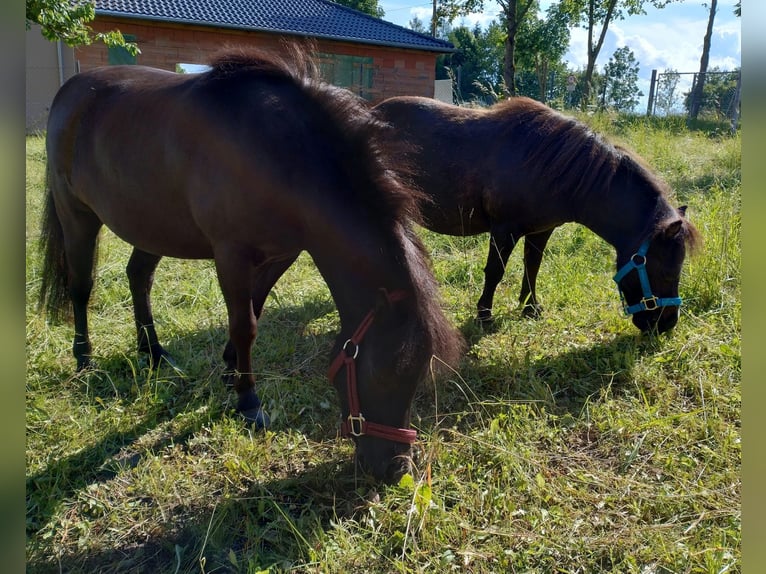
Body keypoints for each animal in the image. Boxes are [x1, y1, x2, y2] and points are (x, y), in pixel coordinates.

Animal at [38, 46, 463, 483]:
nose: (396, 469)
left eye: (419, 373)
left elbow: (253, 311)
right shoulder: (232, 255)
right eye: (384, 371)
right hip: (76, 215)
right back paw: (84, 359)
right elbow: (245, 326)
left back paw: (153, 352)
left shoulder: (281, 254)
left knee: (138, 277)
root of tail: (71, 90)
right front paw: (248, 400)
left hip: (152, 225)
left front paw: (230, 370)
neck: (279, 154)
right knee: (81, 286)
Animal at [373, 96, 702, 334]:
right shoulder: (504, 230)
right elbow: (495, 272)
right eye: (668, 272)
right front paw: (485, 315)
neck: (554, 168)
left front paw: (531, 308)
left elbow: (533, 268)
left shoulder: (541, 230)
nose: (667, 324)